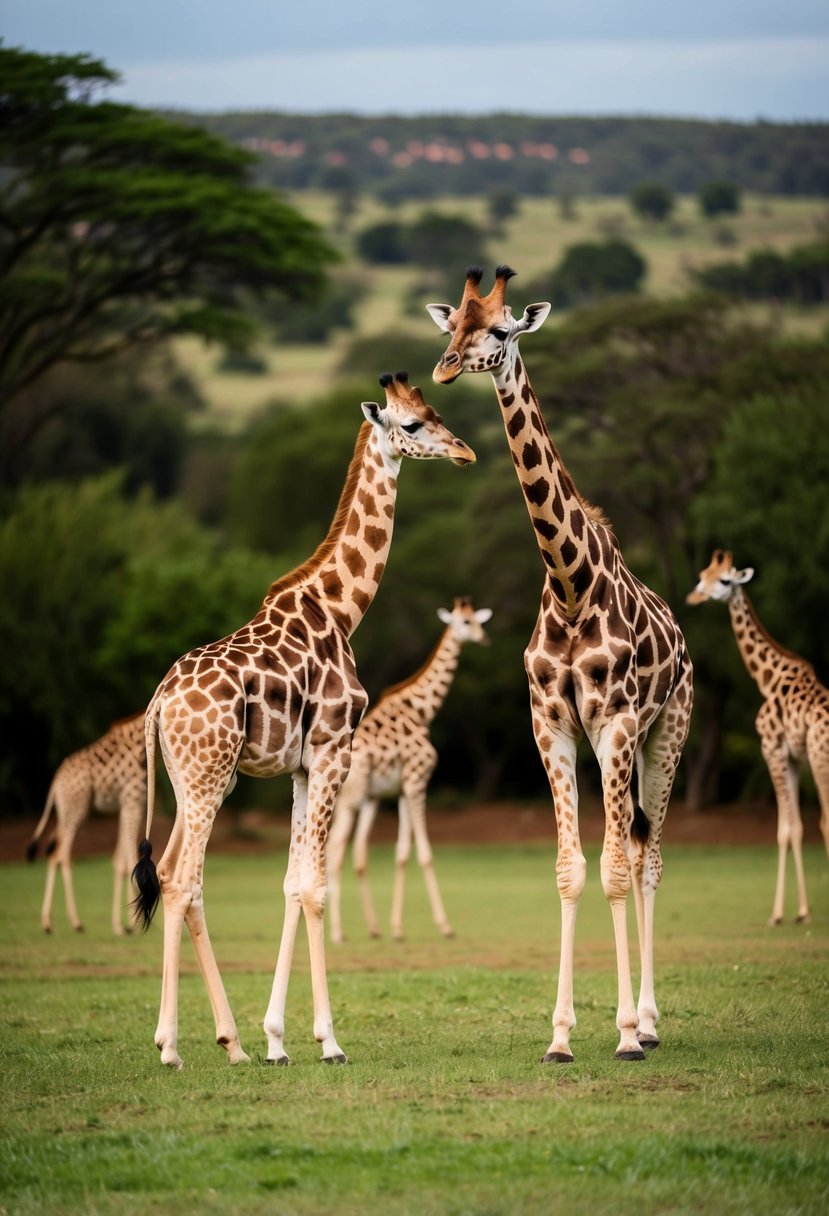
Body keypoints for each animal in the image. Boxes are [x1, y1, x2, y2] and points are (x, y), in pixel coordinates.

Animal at [26, 712, 146, 936]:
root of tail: (55, 784)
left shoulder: (129, 805)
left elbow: (120, 861)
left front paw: (122, 925)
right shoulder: (133, 802)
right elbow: (131, 860)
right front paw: (135, 922)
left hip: (67, 813)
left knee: (53, 853)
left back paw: (47, 923)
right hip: (77, 810)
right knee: (63, 855)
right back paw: (76, 922)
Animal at [131, 373, 475, 1069]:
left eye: (435, 409)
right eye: (412, 424)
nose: (464, 452)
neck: (342, 611)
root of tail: (157, 704)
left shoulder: (299, 766)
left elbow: (293, 883)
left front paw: (275, 1039)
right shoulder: (334, 749)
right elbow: (316, 886)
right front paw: (329, 1041)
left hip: (191, 781)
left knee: (181, 880)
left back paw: (228, 1042)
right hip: (209, 778)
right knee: (181, 884)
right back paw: (174, 1048)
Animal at [326, 595, 492, 944]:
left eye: (478, 620)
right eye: (465, 622)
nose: (483, 638)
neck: (423, 710)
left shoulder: (401, 789)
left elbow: (401, 853)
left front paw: (397, 928)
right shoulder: (418, 780)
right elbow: (425, 854)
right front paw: (445, 926)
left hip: (364, 799)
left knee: (352, 853)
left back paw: (369, 928)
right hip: (353, 798)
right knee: (335, 850)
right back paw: (336, 932)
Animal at [427, 266, 693, 1063]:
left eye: (500, 329)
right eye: (452, 327)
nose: (443, 368)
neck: (571, 588)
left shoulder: (613, 724)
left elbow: (613, 870)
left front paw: (626, 1035)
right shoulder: (550, 727)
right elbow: (571, 870)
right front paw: (560, 1035)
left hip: (665, 733)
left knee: (648, 859)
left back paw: (649, 1021)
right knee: (632, 849)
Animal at [687, 549, 829, 924]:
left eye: (724, 581)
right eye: (702, 575)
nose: (695, 596)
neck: (767, 677)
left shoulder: (772, 748)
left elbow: (785, 830)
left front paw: (781, 913)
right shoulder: (793, 757)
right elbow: (796, 828)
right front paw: (802, 910)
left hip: (821, 759)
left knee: (826, 821)